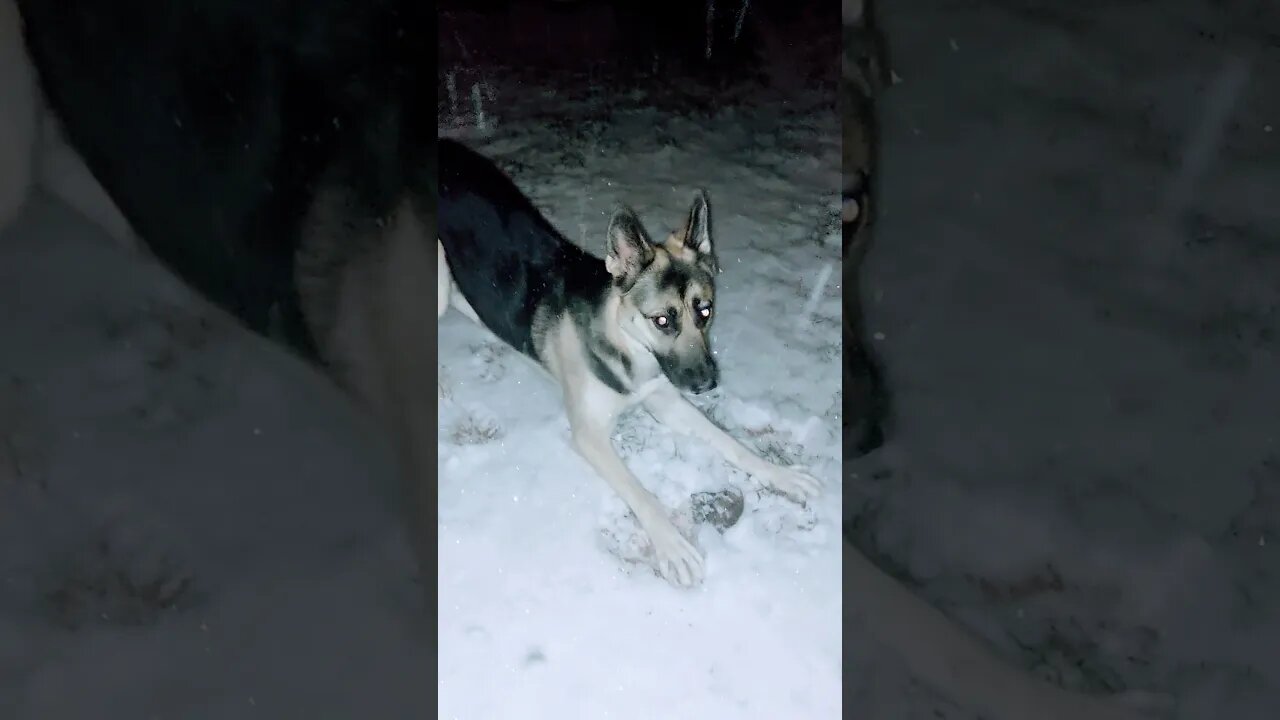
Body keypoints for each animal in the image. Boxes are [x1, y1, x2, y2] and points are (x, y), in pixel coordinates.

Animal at [440, 139, 819, 584]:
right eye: (662, 320)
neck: (627, 346)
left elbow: (730, 442)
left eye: (705, 311)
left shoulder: (668, 401)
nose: (707, 384)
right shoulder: (589, 435)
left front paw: (780, 474)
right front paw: (672, 544)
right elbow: (641, 492)